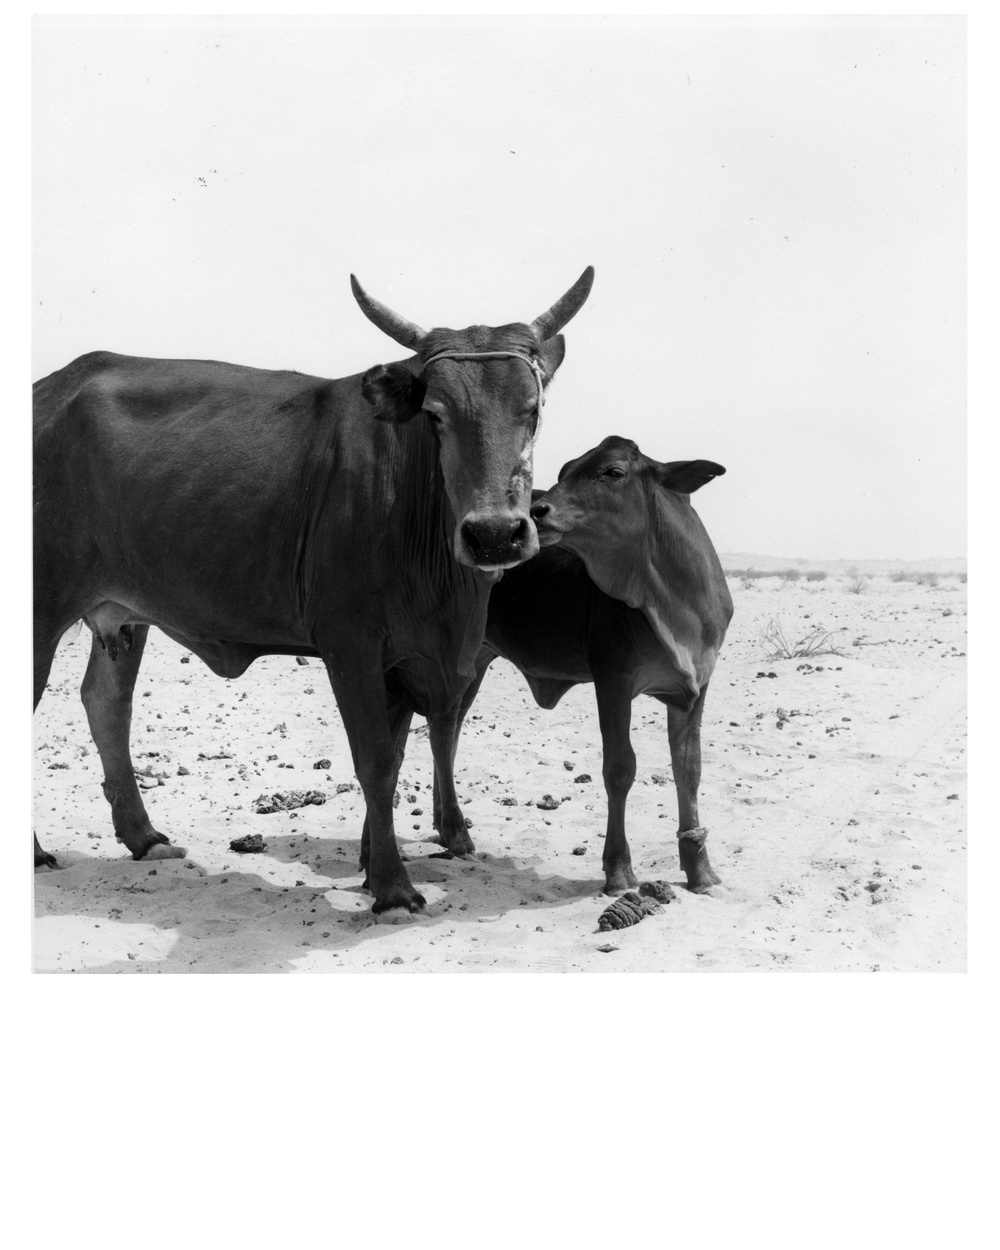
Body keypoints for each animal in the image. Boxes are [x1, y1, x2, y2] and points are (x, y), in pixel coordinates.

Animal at [31, 268, 595, 915]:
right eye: (436, 414)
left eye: (533, 410)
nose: (495, 534)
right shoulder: (350, 644)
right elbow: (375, 762)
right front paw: (393, 887)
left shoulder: (408, 659)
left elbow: (400, 754)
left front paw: (373, 866)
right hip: (41, 607)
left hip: (123, 614)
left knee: (107, 703)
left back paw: (145, 837)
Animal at [430, 435, 735, 895]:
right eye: (564, 471)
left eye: (613, 472)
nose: (537, 512)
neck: (675, 603)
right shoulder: (613, 679)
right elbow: (620, 768)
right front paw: (618, 869)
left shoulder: (695, 688)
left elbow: (689, 770)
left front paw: (699, 869)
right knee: (443, 727)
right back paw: (454, 830)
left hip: (479, 659)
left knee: (449, 729)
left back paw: (445, 824)